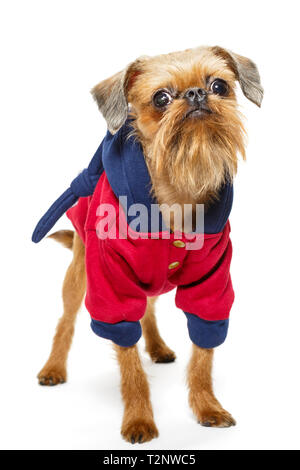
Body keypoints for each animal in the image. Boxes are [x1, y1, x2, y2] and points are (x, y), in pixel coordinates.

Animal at [34, 46, 262, 442]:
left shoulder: (212, 286)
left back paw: (157, 347)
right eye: (161, 98)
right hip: (79, 274)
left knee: (150, 309)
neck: (179, 188)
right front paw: (139, 418)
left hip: (152, 283)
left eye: (219, 86)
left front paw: (207, 407)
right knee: (67, 319)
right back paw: (54, 368)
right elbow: (129, 361)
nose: (196, 94)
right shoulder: (111, 289)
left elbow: (203, 353)